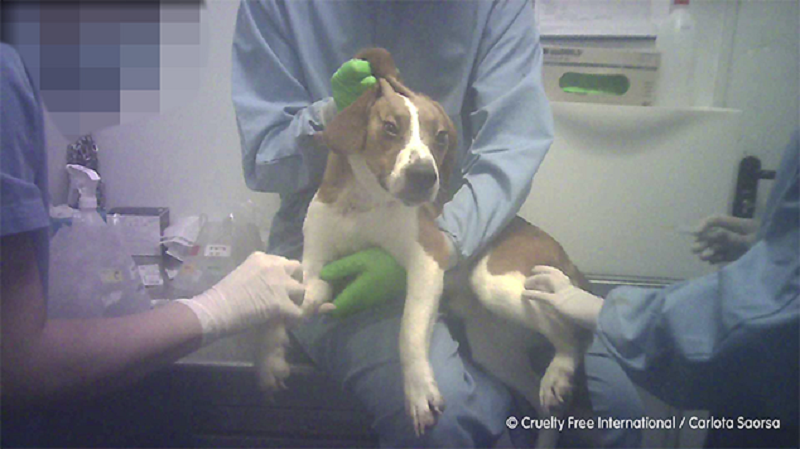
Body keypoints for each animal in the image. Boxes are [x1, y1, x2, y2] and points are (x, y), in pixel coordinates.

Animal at [256, 47, 592, 446]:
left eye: (442, 137)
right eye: (390, 127)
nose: (424, 177)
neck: (363, 203)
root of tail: (567, 258)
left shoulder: (427, 261)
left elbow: (408, 332)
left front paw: (417, 392)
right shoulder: (315, 271)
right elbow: (286, 307)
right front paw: (272, 357)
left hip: (498, 283)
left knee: (571, 332)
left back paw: (561, 367)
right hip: (492, 345)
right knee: (544, 404)